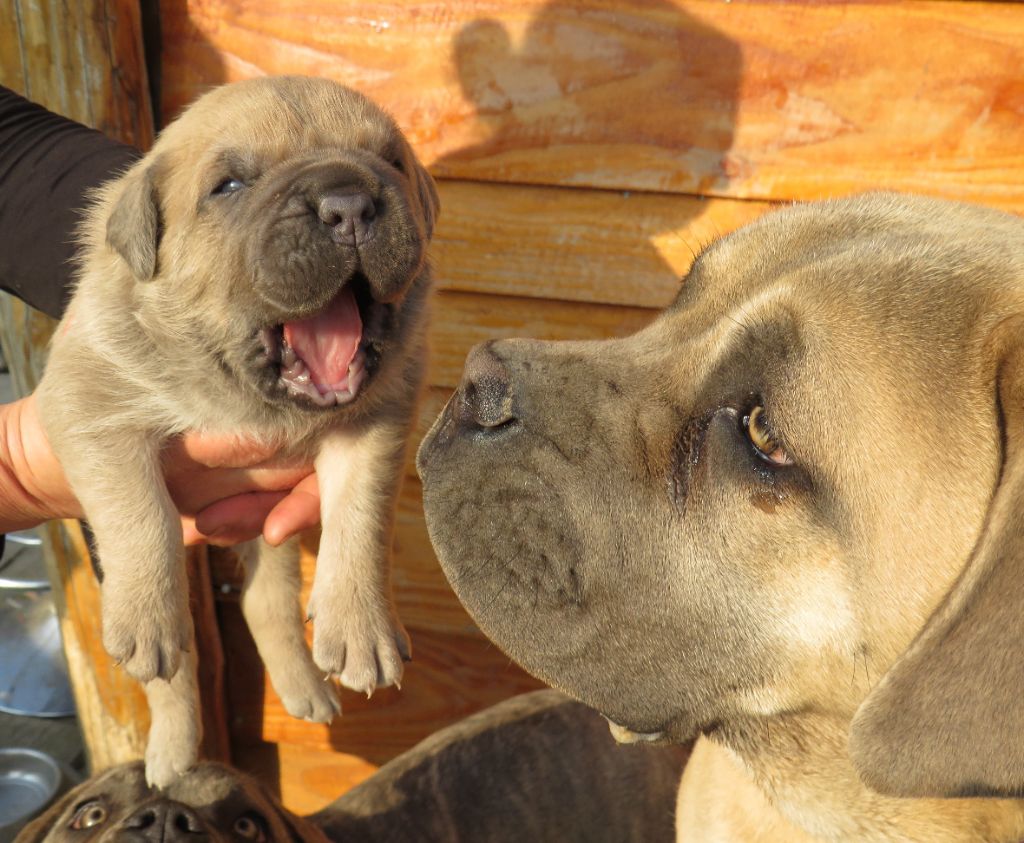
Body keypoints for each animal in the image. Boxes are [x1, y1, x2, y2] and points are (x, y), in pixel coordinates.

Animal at [35, 75, 436, 786]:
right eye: (229, 186)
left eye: (391, 160)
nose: (349, 206)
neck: (244, 398)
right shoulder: (87, 400)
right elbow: (142, 514)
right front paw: (146, 614)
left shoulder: (378, 423)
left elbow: (362, 522)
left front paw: (362, 628)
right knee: (175, 663)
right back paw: (170, 751)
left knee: (267, 601)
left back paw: (305, 690)